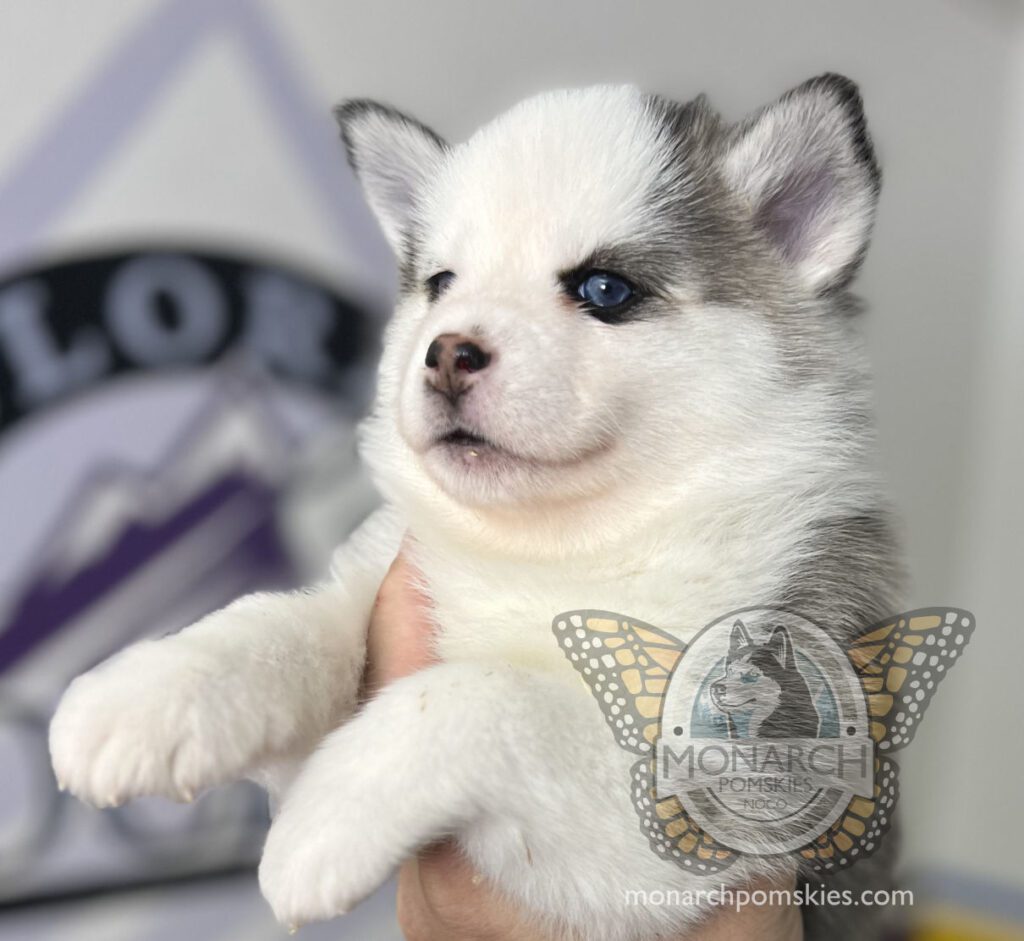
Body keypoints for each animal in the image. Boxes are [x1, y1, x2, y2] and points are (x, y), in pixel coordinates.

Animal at [49, 75, 897, 941]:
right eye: (440, 284)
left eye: (604, 290)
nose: (446, 353)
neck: (555, 543)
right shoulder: (377, 580)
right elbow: (279, 621)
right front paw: (153, 691)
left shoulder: (693, 811)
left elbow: (482, 695)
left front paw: (325, 822)